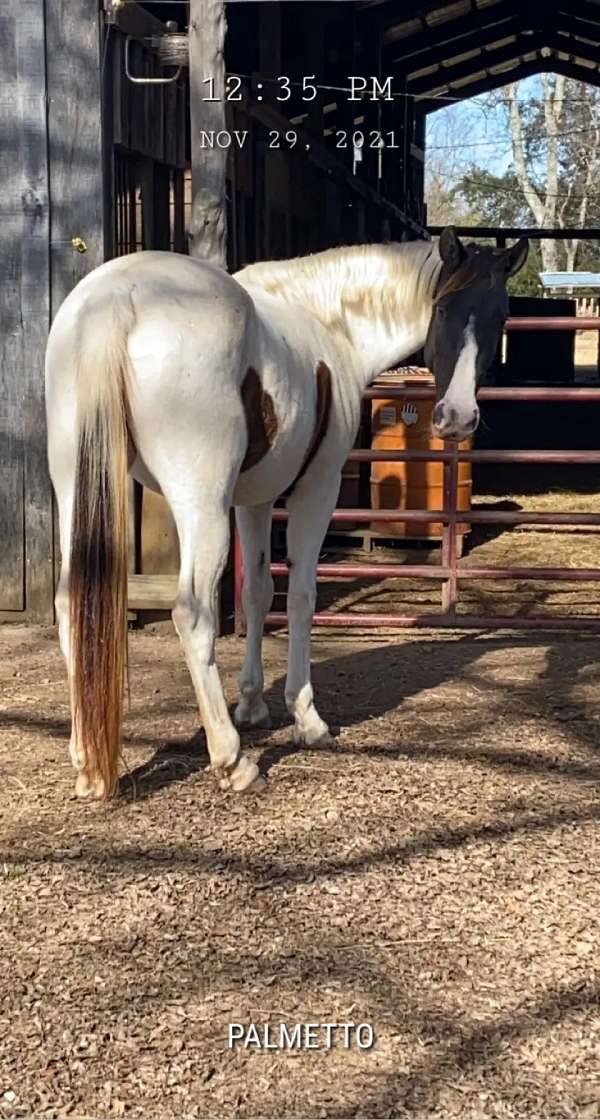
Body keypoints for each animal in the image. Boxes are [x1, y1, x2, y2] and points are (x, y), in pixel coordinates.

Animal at [44, 225, 528, 797]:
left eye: (500, 318)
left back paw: (89, 767)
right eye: (446, 308)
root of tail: (119, 296)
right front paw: (306, 718)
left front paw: (253, 704)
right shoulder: (314, 491)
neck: (329, 321)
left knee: (70, 604)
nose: (457, 418)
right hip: (199, 504)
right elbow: (299, 594)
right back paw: (232, 761)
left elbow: (257, 592)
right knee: (193, 613)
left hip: (77, 487)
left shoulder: (253, 500)